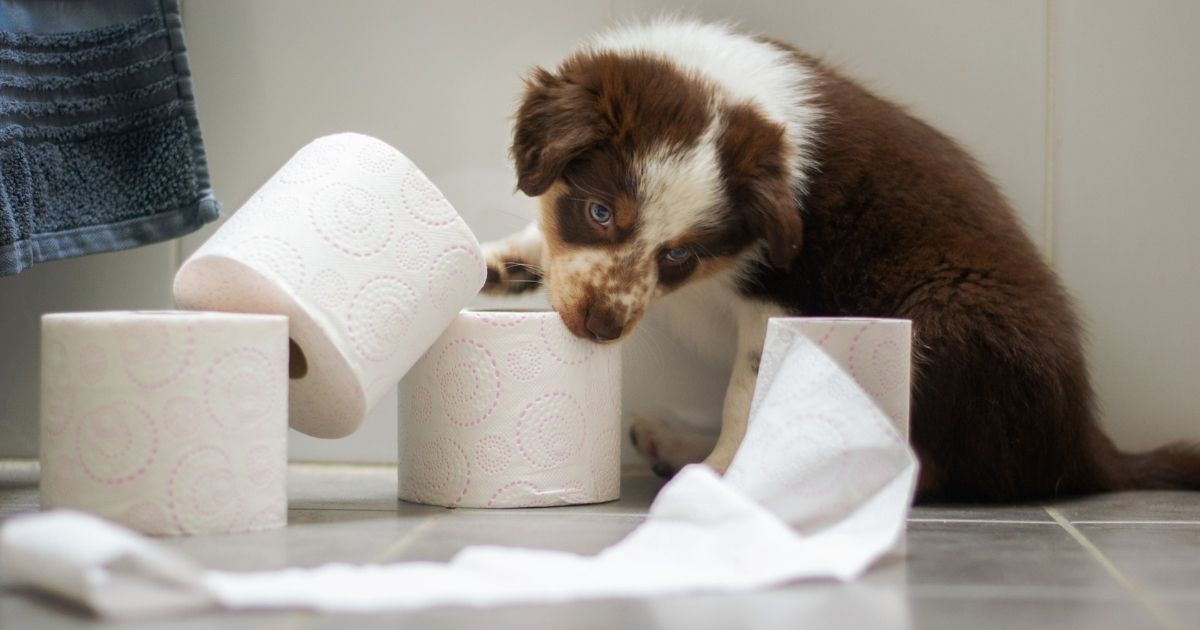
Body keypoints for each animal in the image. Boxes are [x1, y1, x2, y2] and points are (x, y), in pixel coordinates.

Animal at [482, 19, 1195, 501]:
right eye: (601, 212)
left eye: (679, 254)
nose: (599, 329)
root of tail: (1086, 444)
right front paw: (497, 262)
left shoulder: (785, 293)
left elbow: (747, 392)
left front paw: (722, 475)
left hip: (945, 319)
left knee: (947, 466)